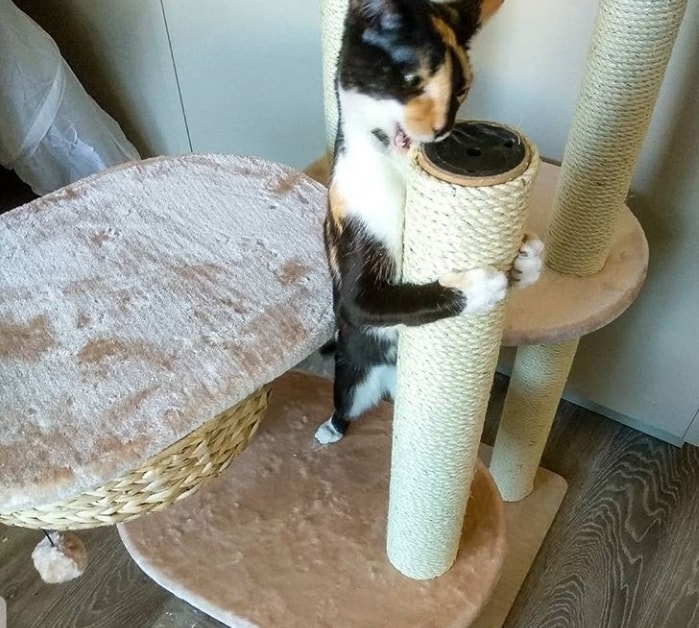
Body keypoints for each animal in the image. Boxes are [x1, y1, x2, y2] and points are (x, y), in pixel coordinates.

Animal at [315, 0, 543, 445]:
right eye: (411, 80)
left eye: (461, 89)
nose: (441, 129)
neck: (398, 169)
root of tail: (387, 384)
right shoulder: (350, 220)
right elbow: (373, 299)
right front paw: (479, 287)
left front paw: (528, 258)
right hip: (352, 363)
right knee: (345, 396)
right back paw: (330, 429)